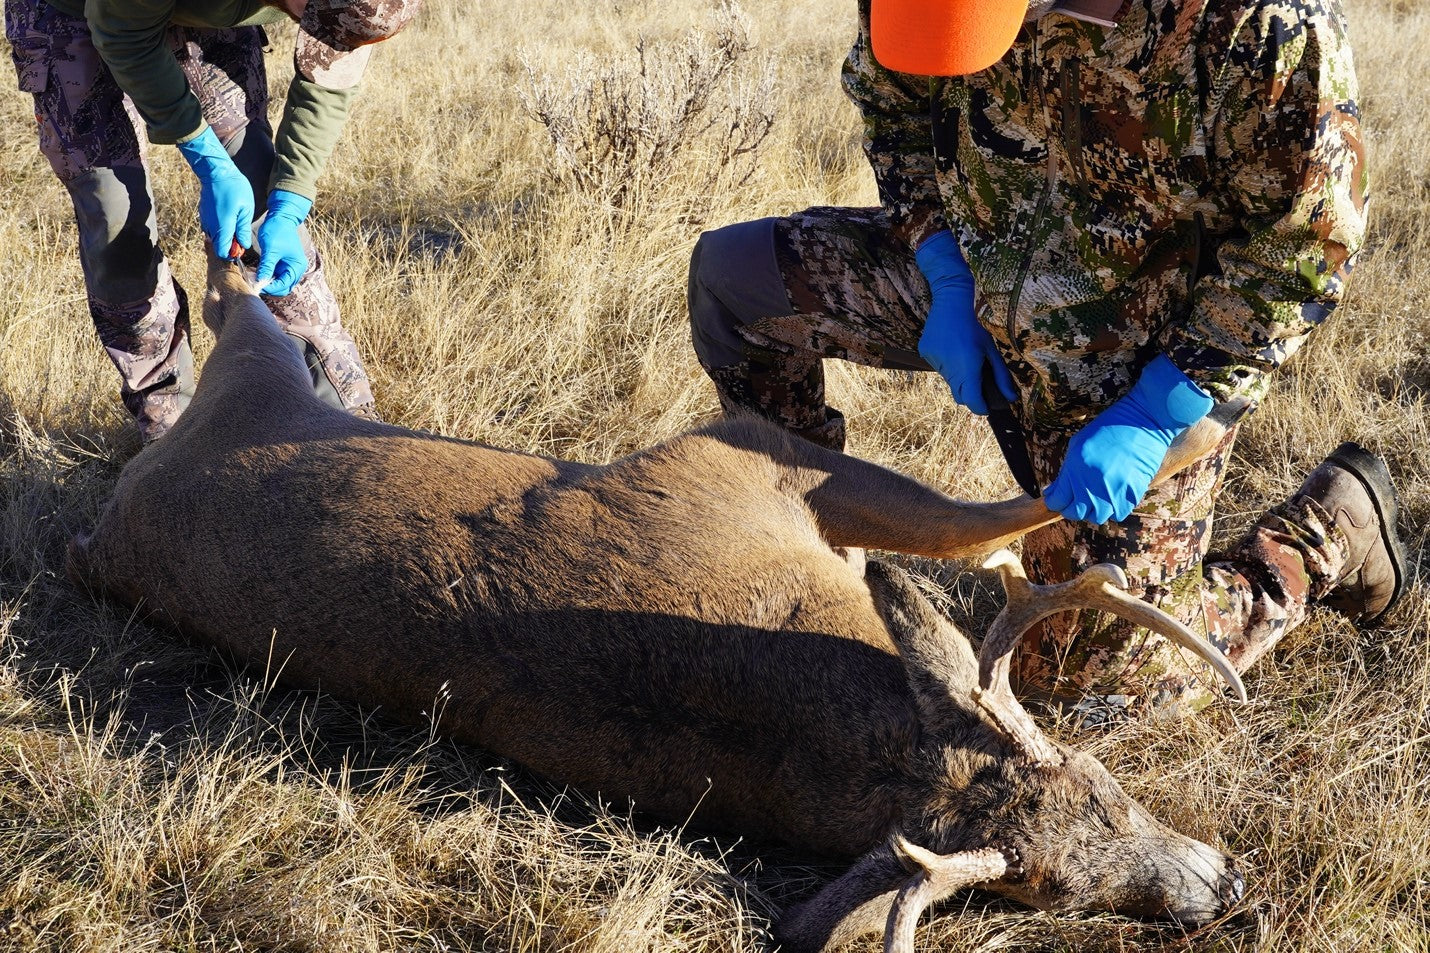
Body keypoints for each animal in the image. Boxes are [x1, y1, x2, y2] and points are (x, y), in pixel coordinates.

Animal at [72, 254, 1246, 950]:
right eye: (1056, 883)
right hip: (255, 371)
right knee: (235, 301)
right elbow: (992, 507)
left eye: (1102, 801)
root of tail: (107, 520)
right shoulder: (737, 456)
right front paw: (1173, 430)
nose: (1219, 887)